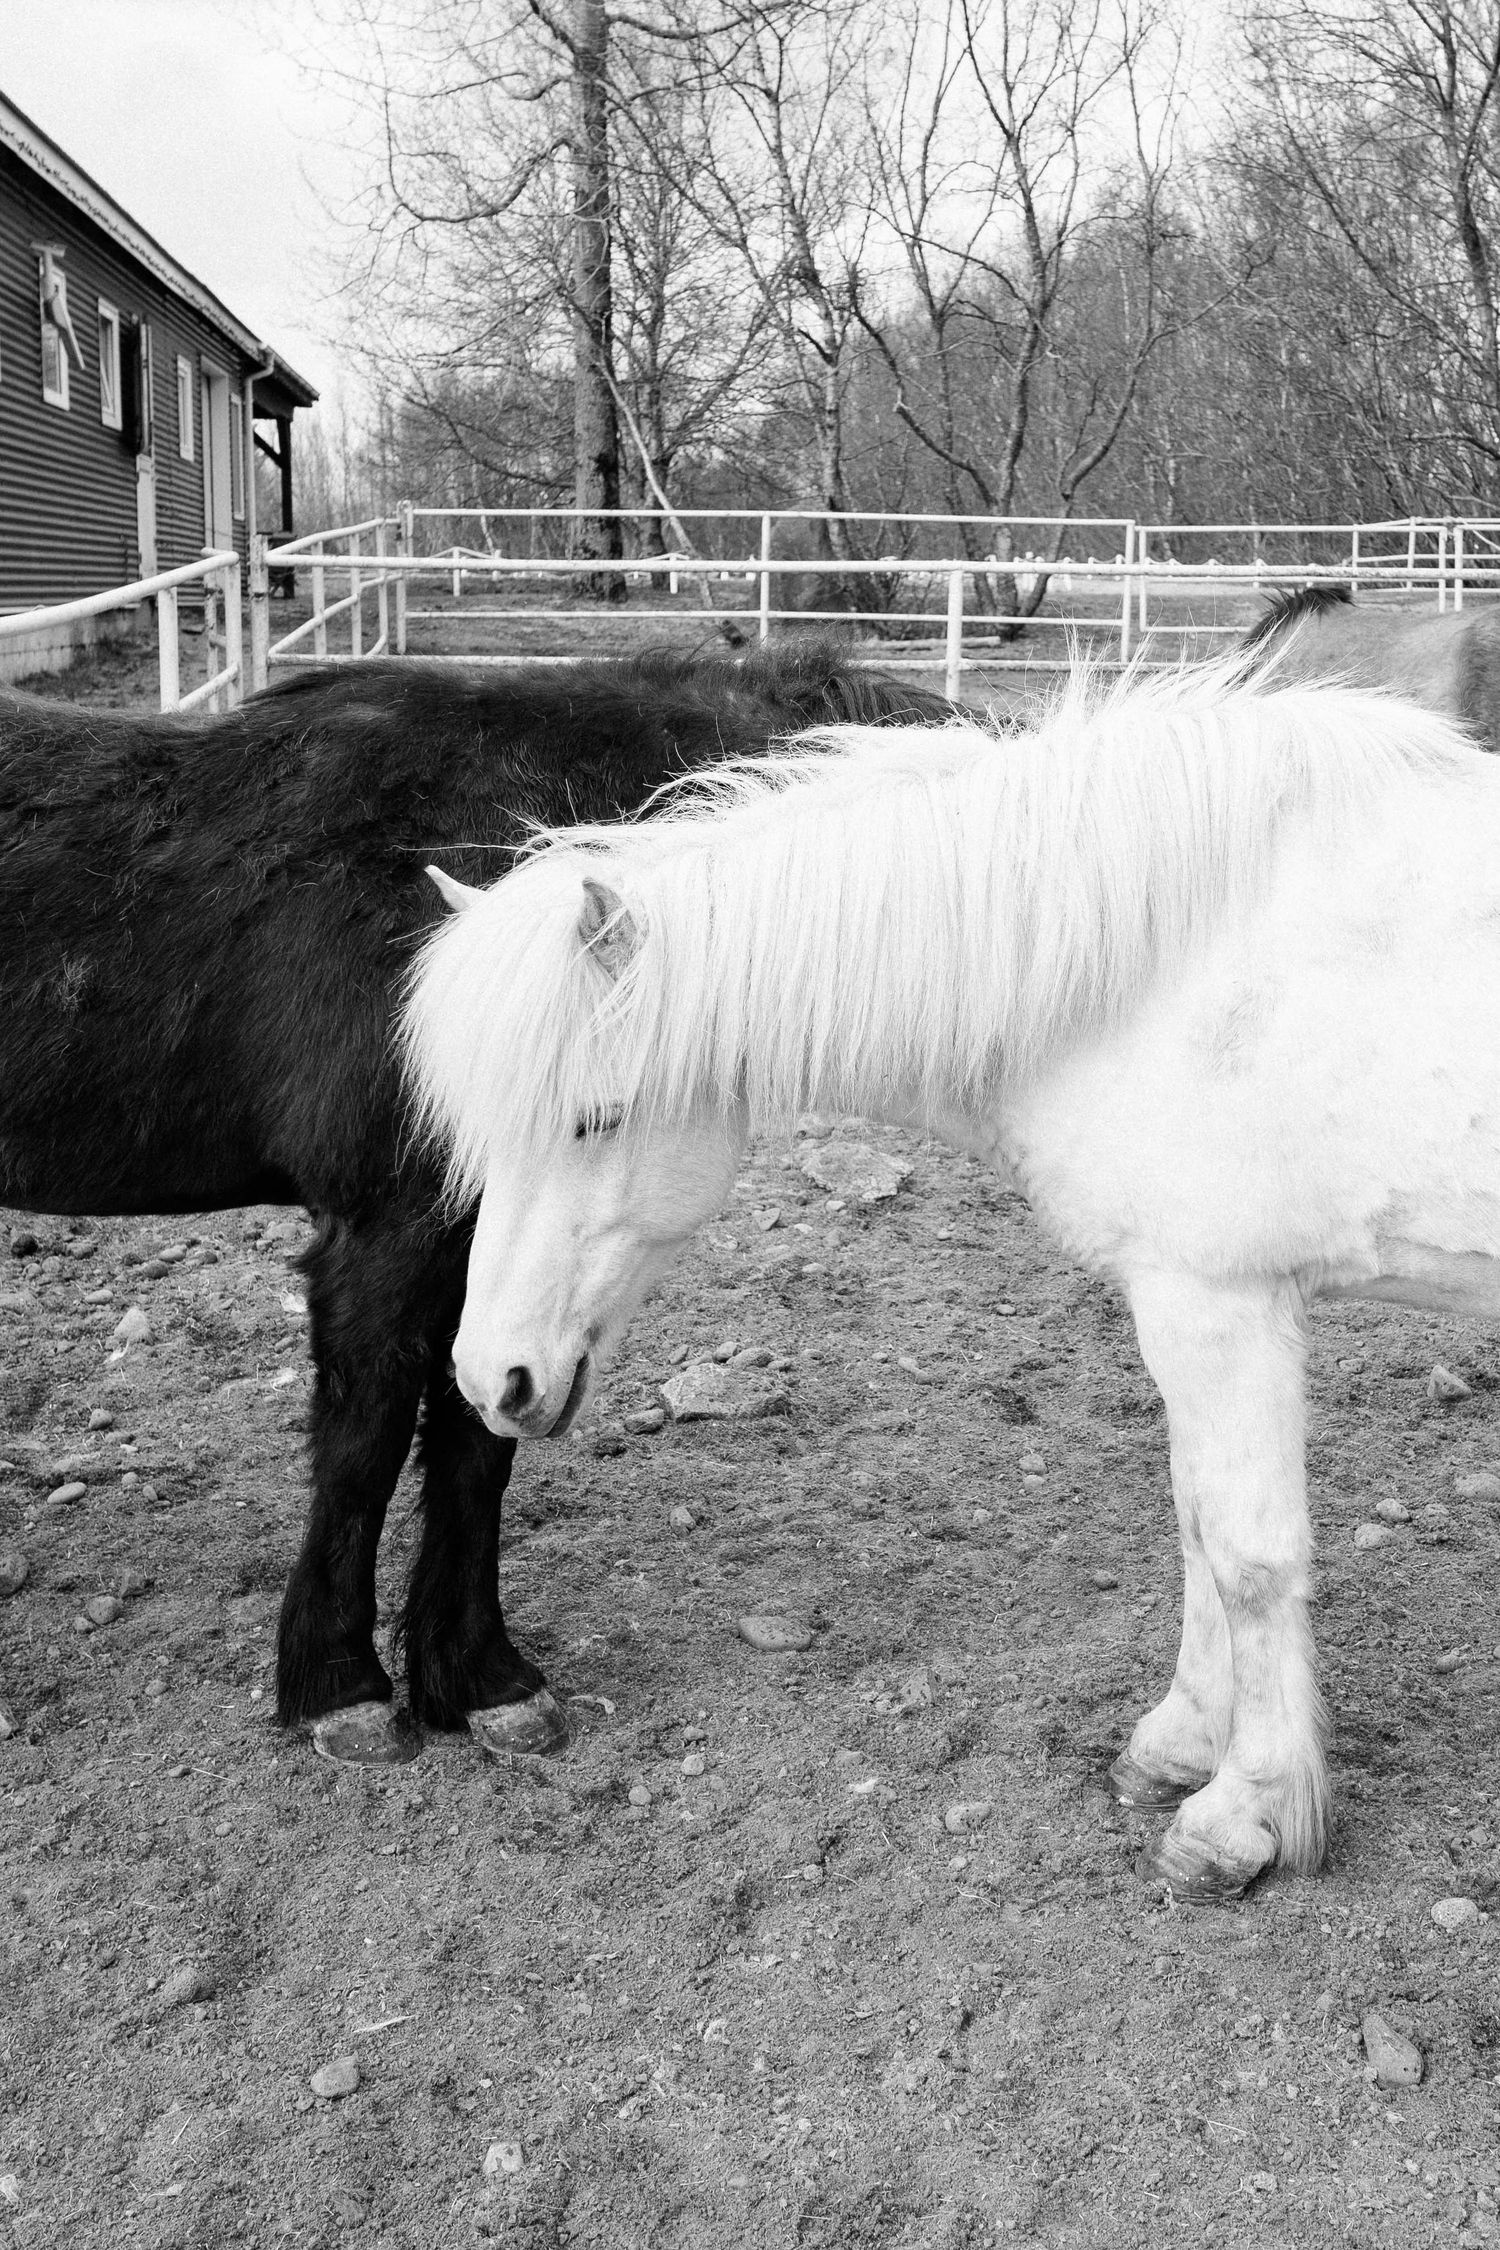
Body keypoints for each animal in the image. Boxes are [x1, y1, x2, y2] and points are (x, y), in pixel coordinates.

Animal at [0, 642, 950, 1766]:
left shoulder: (486, 1260)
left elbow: (473, 1442)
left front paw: (477, 1678)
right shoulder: (385, 1232)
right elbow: (366, 1444)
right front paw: (342, 1686)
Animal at [402, 665, 1500, 1899]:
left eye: (595, 1119)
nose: (490, 1378)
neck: (1164, 957)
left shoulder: (1220, 1302)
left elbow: (1249, 1556)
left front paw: (1242, 1817)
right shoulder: (1186, 1311)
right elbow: (1194, 1527)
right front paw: (1177, 1745)